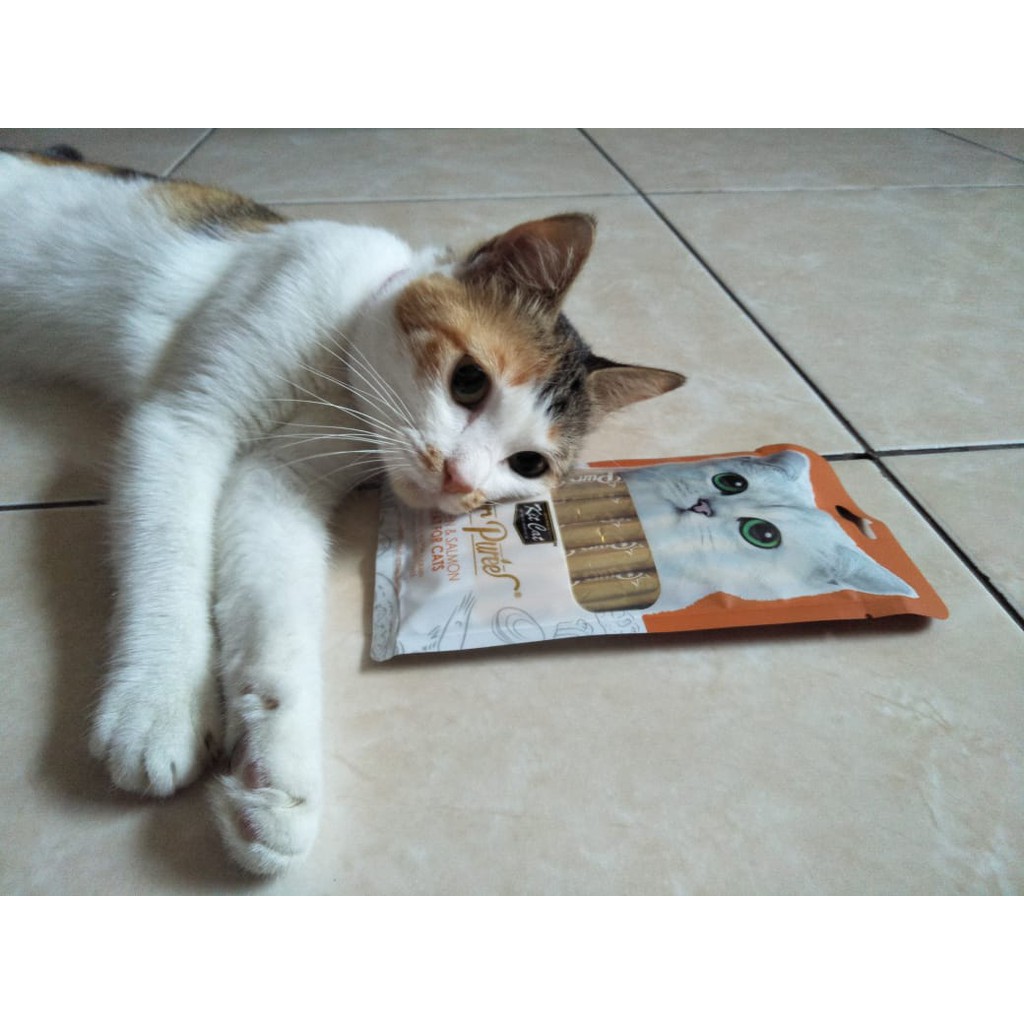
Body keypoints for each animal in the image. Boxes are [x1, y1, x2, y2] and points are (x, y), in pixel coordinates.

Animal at [0, 145, 684, 875]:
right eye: (469, 381)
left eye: (528, 465)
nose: (459, 479)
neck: (336, 373)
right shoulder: (186, 421)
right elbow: (168, 554)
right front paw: (159, 706)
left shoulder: (278, 478)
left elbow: (279, 615)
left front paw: (277, 781)